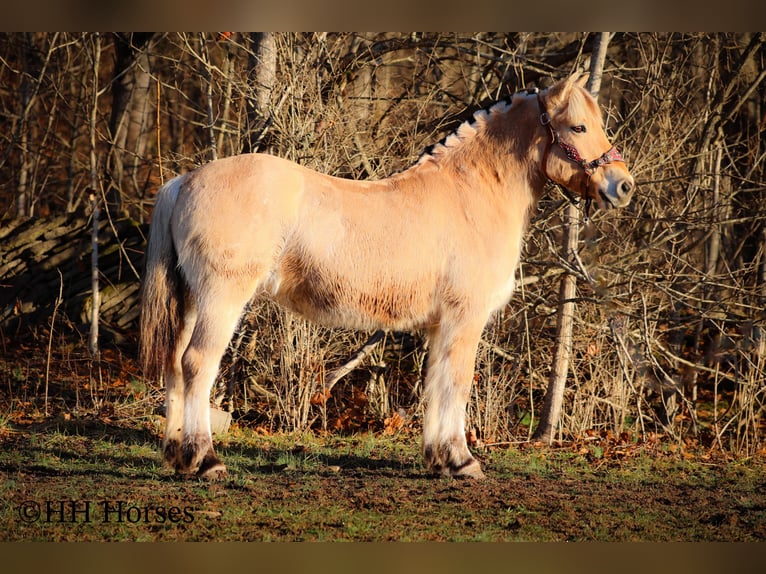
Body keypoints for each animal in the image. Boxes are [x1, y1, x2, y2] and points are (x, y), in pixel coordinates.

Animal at [140, 73, 634, 480]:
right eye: (578, 128)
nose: (623, 185)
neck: (472, 192)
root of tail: (185, 182)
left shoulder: (439, 325)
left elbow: (434, 383)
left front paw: (439, 459)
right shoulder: (465, 318)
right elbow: (457, 382)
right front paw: (463, 461)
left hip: (191, 302)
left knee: (174, 364)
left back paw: (177, 455)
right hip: (221, 300)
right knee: (197, 364)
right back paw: (206, 460)